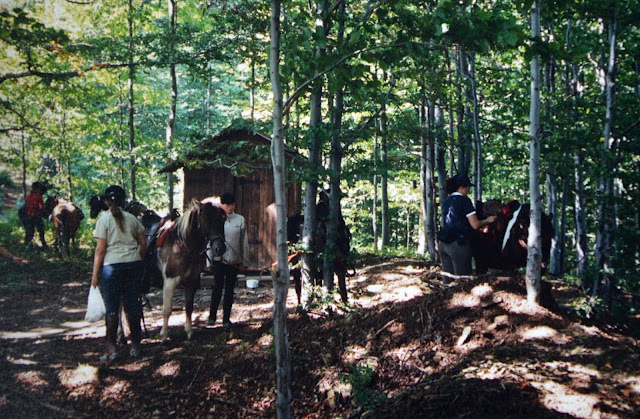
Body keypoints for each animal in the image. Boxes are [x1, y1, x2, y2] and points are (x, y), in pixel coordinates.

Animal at [151, 199, 226, 342]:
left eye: (223, 219)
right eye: (205, 218)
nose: (220, 248)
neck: (182, 244)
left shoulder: (192, 281)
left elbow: (189, 307)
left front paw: (189, 331)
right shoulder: (169, 281)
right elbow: (167, 309)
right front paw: (163, 335)